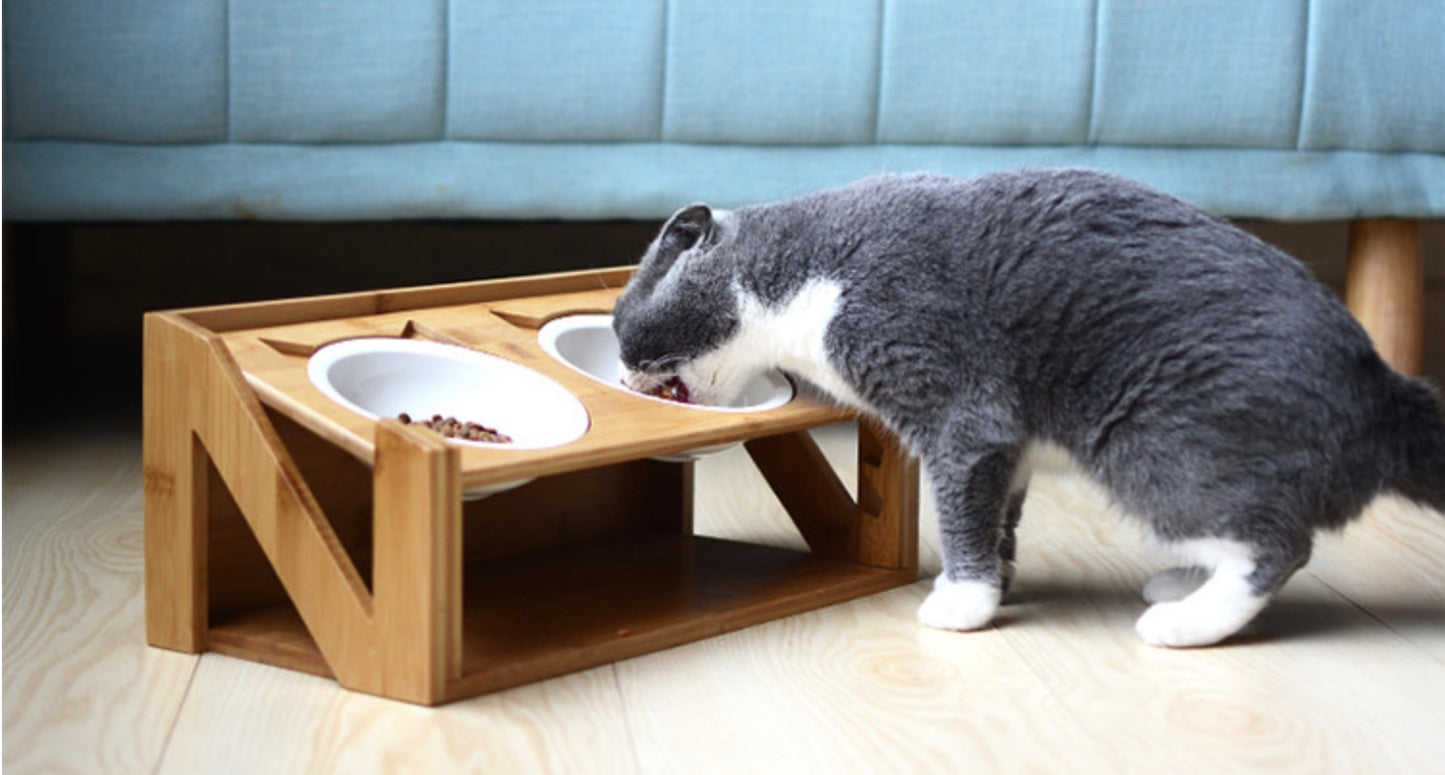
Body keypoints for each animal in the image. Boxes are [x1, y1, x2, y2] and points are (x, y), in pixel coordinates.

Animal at [612, 169, 1445, 647]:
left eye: (622, 324)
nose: (618, 368)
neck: (805, 278)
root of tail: (1382, 385)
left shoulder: (958, 411)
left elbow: (959, 509)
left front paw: (961, 603)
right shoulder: (1006, 449)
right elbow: (995, 514)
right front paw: (996, 584)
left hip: (1153, 447)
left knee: (1276, 544)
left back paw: (1181, 621)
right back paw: (1182, 584)